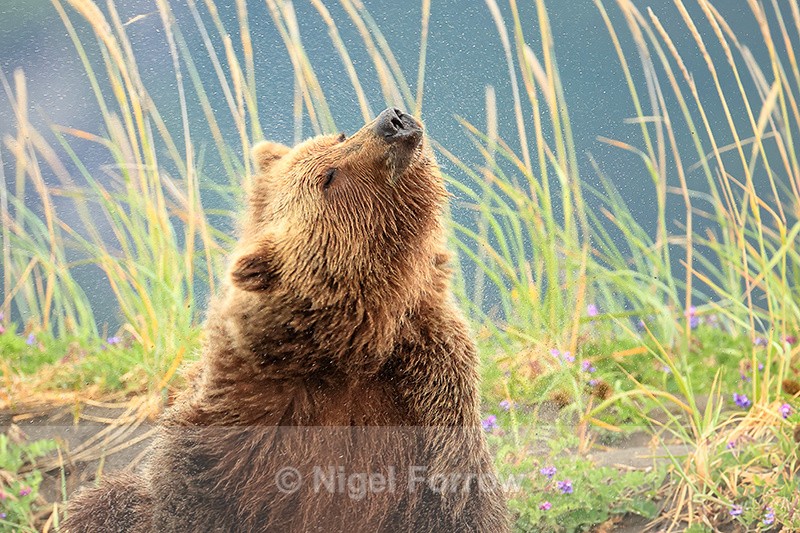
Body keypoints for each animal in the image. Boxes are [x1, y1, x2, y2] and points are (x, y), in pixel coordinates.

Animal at [63, 108, 509, 532]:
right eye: (329, 177)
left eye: (338, 137)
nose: (392, 121)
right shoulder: (231, 439)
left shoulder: (429, 402)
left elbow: (458, 502)